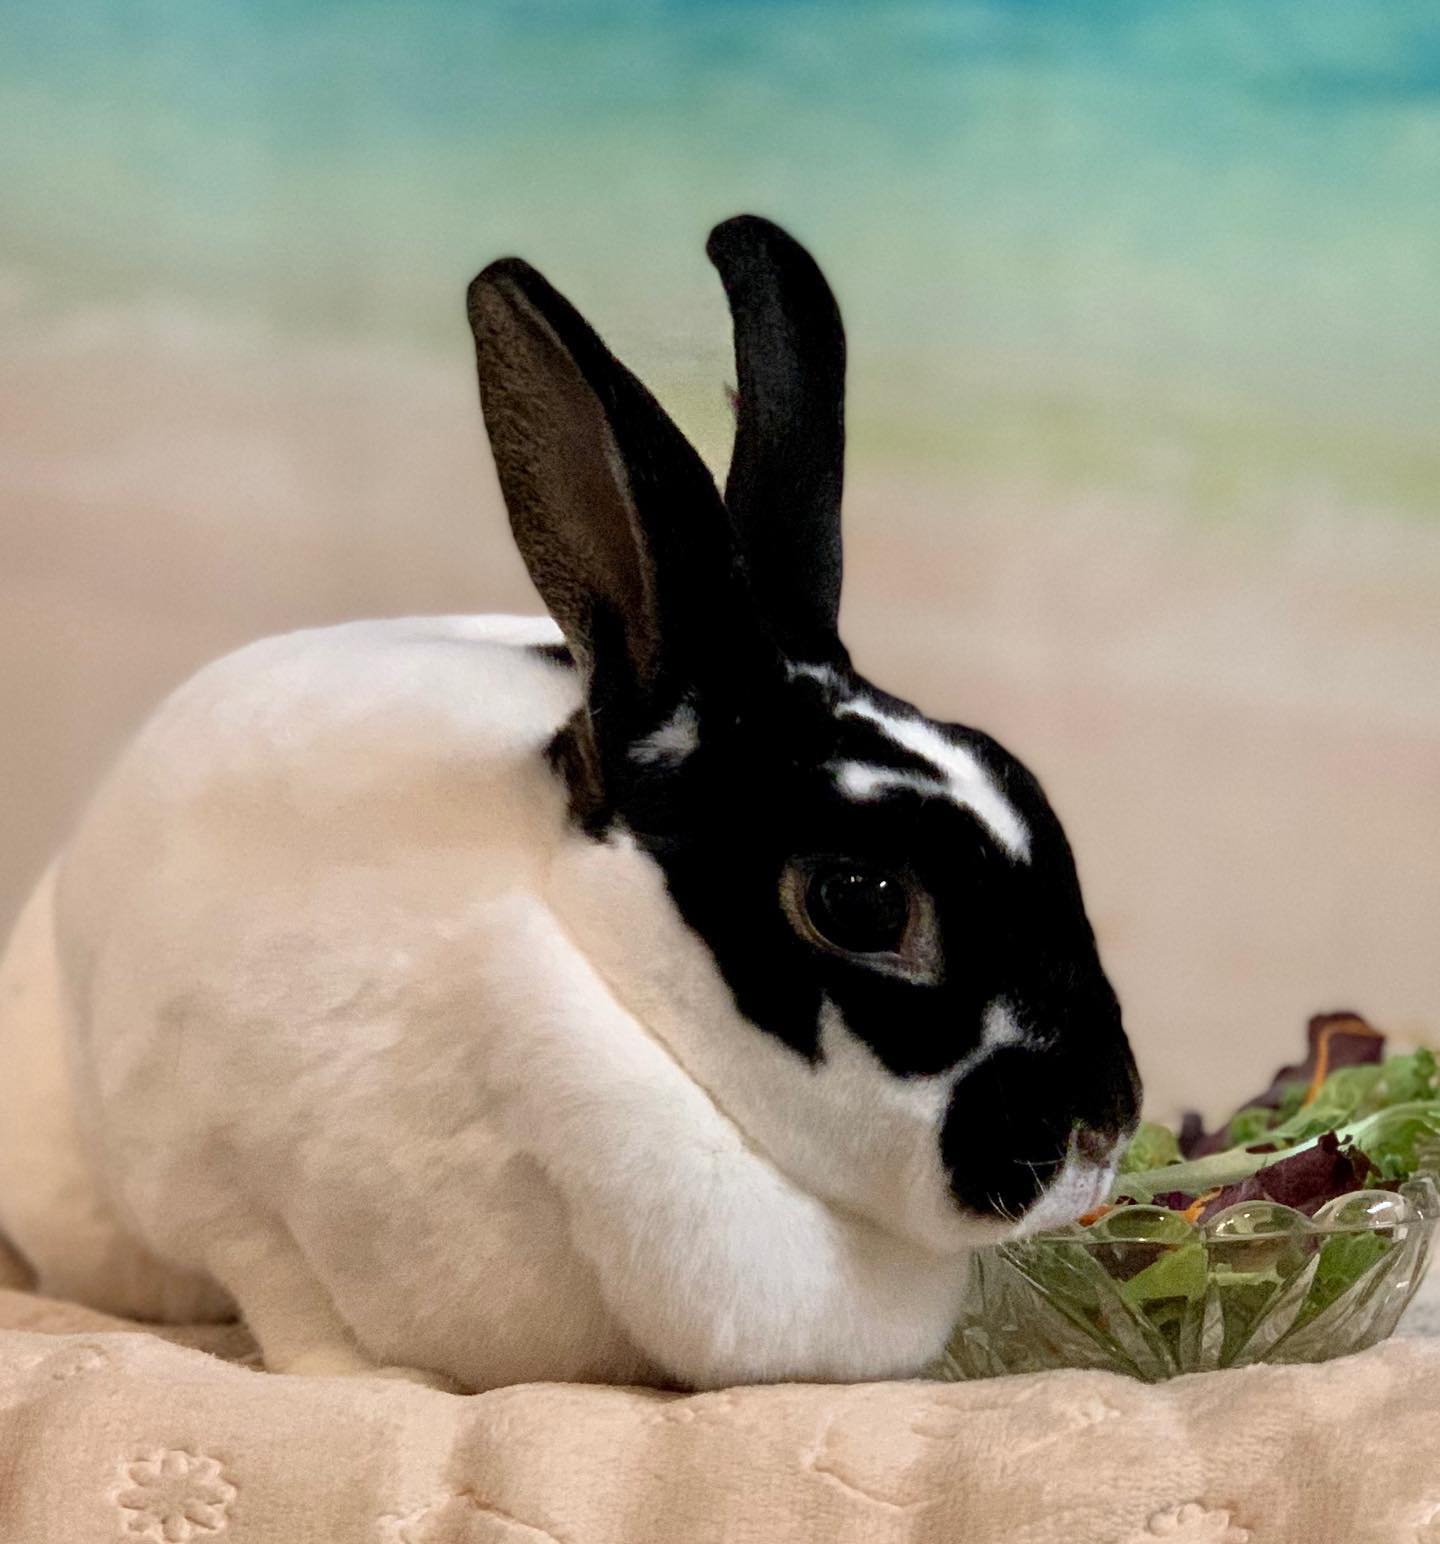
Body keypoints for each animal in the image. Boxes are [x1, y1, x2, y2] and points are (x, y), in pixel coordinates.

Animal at [0, 215, 1139, 1392]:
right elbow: (283, 1289)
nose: (1104, 1132)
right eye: (860, 899)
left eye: (1022, 779)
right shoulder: (212, 1166)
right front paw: (367, 1379)